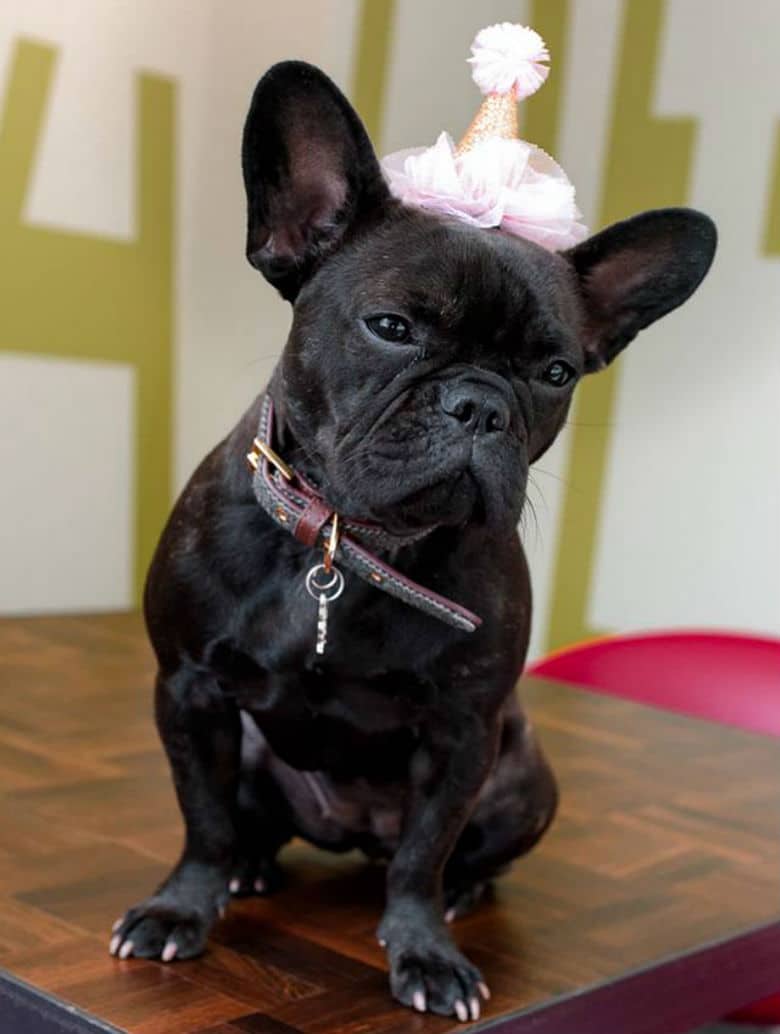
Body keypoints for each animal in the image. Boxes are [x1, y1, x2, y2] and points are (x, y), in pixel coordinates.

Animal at [108, 60, 711, 1021]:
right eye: (392, 327)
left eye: (555, 373)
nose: (480, 405)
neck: (350, 543)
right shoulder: (190, 691)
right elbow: (200, 819)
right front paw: (182, 908)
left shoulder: (462, 733)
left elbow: (425, 855)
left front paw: (426, 951)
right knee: (245, 822)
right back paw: (249, 868)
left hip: (522, 776)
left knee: (440, 854)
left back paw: (463, 890)